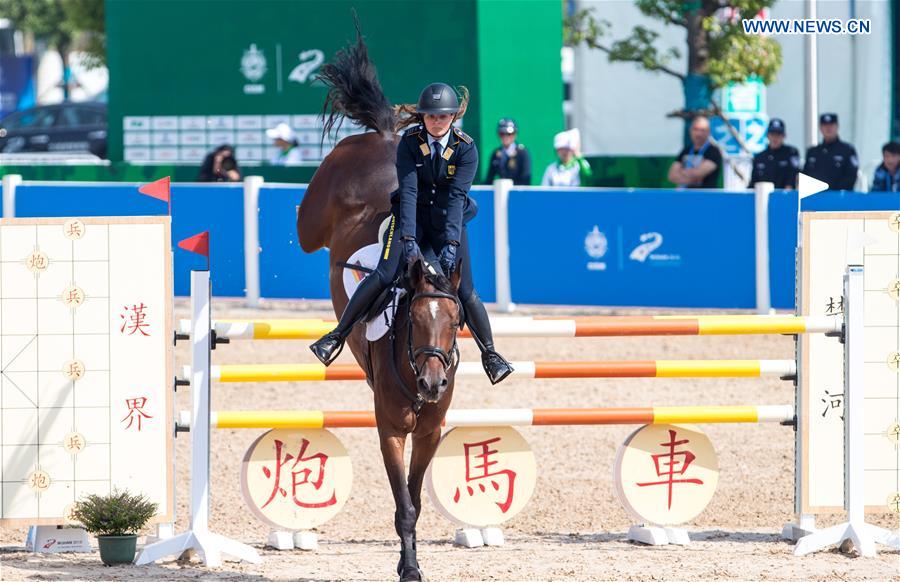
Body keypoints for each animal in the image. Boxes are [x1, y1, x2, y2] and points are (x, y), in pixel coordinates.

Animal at [298, 32, 464, 582]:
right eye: (413, 322)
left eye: (456, 323)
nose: (433, 384)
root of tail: (388, 136)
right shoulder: (390, 428)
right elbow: (404, 505)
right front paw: (409, 568)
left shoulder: (430, 429)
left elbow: (415, 497)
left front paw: (409, 560)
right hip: (316, 210)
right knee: (306, 230)